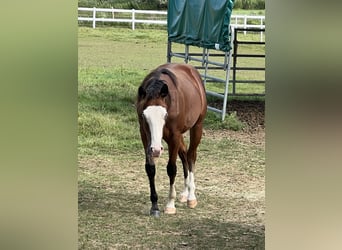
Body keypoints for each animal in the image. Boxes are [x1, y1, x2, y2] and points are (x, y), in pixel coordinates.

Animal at [136, 63, 206, 217]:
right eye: (144, 116)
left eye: (165, 114)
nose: (156, 150)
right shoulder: (145, 135)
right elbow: (150, 168)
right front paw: (154, 206)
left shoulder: (174, 135)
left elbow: (171, 169)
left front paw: (170, 205)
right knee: (184, 155)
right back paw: (185, 193)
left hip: (196, 127)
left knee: (191, 156)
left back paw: (191, 197)